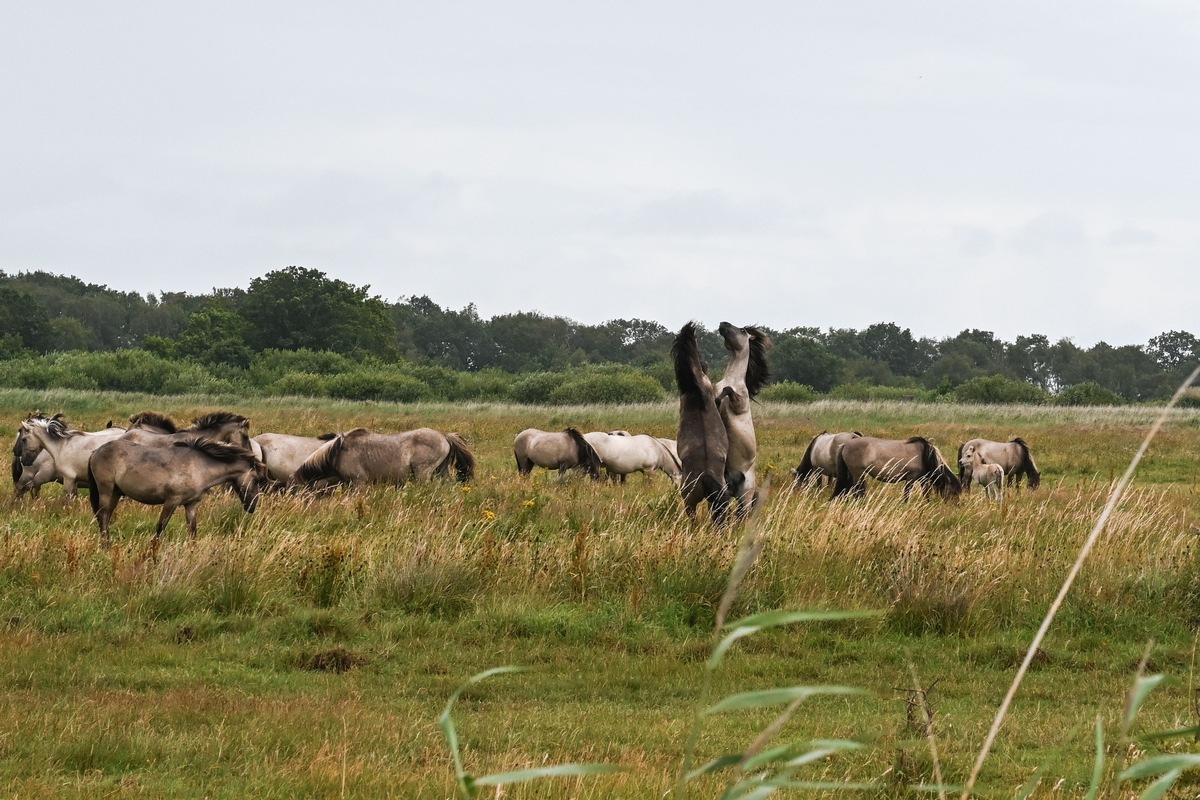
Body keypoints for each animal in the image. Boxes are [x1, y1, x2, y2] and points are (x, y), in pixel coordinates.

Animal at [87, 438, 270, 544]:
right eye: (257, 479)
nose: (252, 506)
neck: (198, 467)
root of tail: (96, 451)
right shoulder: (171, 501)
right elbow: (160, 529)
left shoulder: (191, 505)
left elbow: (193, 532)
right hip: (106, 489)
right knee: (103, 515)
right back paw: (106, 545)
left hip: (116, 493)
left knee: (106, 516)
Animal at [710, 321, 768, 515]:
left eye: (742, 330)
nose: (723, 324)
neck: (732, 378)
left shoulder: (740, 403)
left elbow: (728, 391)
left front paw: (720, 399)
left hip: (746, 492)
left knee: (744, 513)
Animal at [830, 438, 960, 501]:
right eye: (953, 492)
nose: (956, 505)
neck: (925, 455)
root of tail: (845, 445)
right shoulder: (911, 478)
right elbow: (907, 494)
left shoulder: (922, 479)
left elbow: (926, 493)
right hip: (858, 474)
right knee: (857, 490)